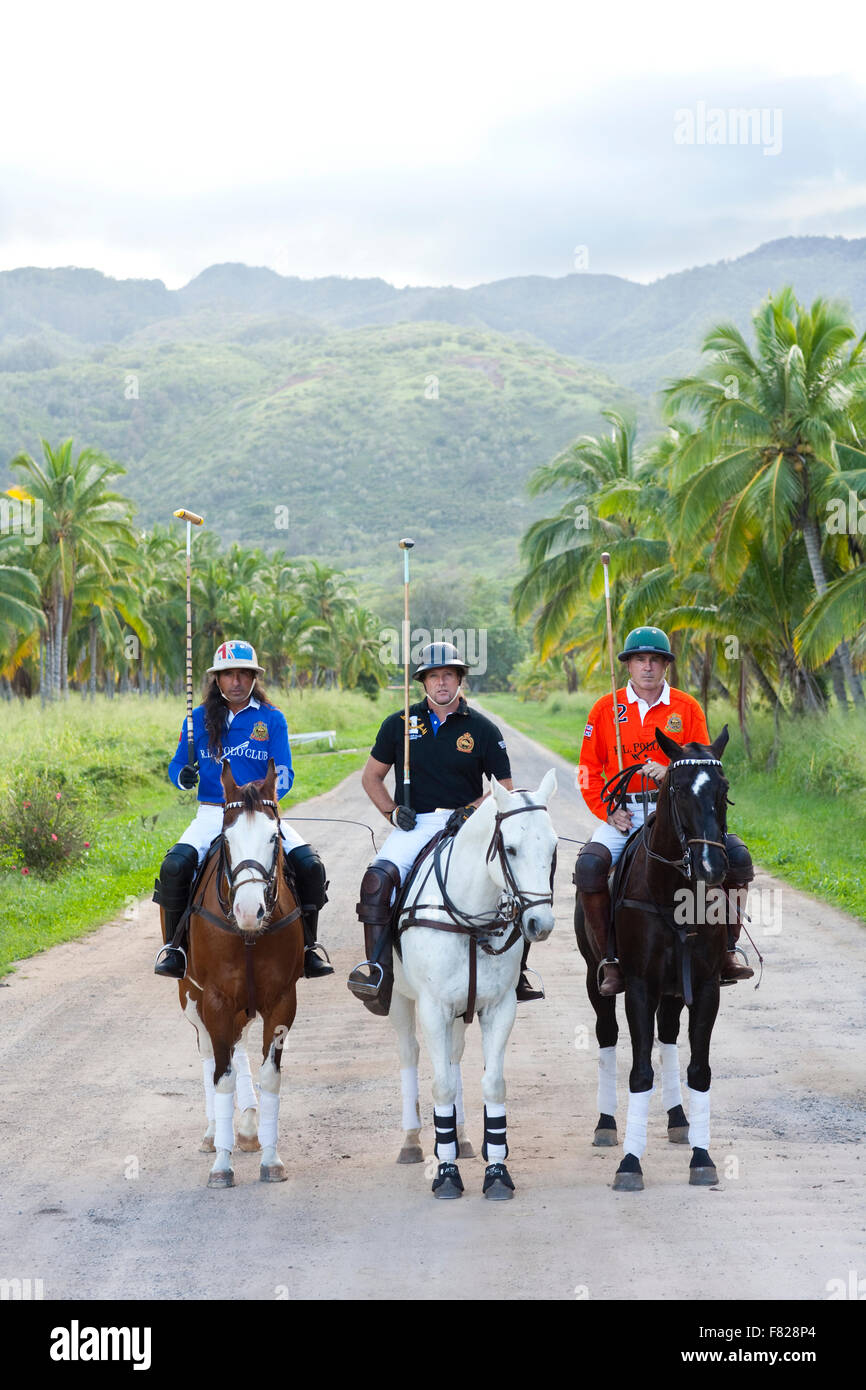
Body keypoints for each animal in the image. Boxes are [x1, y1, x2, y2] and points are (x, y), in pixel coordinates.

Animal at [170, 756, 304, 1189]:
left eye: (274, 837)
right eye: (226, 840)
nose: (249, 911)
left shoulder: (282, 1000)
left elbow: (269, 1076)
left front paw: (271, 1158)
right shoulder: (214, 999)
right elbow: (221, 1075)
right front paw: (222, 1163)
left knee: (236, 1045)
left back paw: (245, 1129)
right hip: (191, 994)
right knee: (210, 1054)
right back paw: (216, 1133)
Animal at [389, 778, 558, 1200]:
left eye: (552, 848)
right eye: (510, 848)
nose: (541, 924)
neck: (470, 919)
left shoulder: (499, 1007)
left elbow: (493, 1084)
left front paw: (496, 1171)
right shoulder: (433, 1008)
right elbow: (441, 1086)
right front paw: (446, 1173)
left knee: (453, 1056)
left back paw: (461, 1137)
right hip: (399, 999)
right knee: (410, 1053)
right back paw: (413, 1142)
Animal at [575, 722, 739, 1189]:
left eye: (723, 788)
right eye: (679, 789)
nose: (711, 866)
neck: (674, 893)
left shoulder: (704, 985)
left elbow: (698, 1069)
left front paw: (703, 1157)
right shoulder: (640, 987)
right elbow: (639, 1071)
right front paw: (630, 1163)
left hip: (674, 988)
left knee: (667, 1036)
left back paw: (678, 1118)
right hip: (596, 977)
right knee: (607, 1034)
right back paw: (607, 1124)